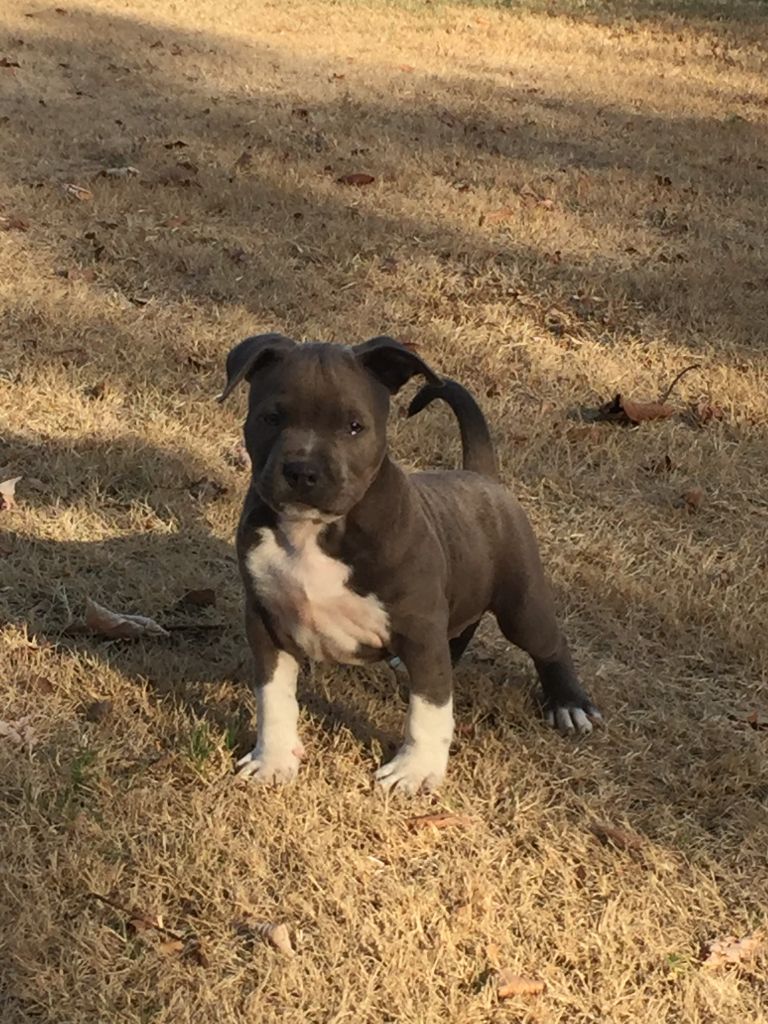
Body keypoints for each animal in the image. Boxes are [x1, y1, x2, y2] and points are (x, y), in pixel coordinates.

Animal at [218, 333, 601, 794]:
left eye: (354, 426)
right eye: (271, 418)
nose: (302, 471)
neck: (315, 531)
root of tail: (482, 476)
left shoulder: (419, 627)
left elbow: (429, 708)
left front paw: (415, 770)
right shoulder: (266, 621)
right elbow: (273, 697)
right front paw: (272, 759)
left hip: (522, 606)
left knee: (549, 643)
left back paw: (569, 703)